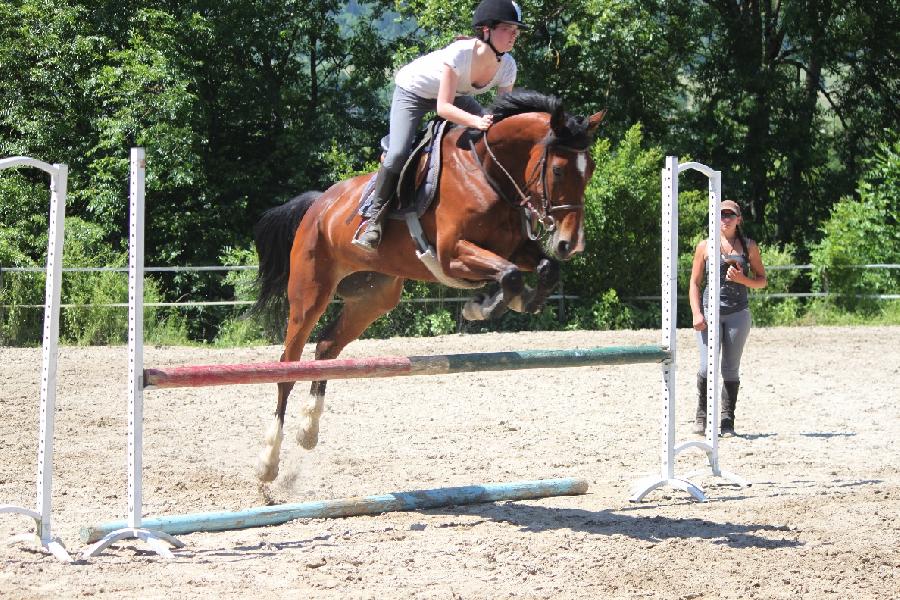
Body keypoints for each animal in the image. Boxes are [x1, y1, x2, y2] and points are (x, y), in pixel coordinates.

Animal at [253, 90, 604, 482]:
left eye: (589, 170)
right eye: (558, 170)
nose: (570, 244)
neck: (488, 173)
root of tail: (319, 204)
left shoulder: (514, 248)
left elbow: (543, 269)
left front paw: (513, 301)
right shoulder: (452, 254)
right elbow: (510, 274)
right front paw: (484, 306)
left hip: (374, 298)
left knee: (327, 348)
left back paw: (308, 430)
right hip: (310, 292)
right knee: (288, 366)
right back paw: (268, 461)